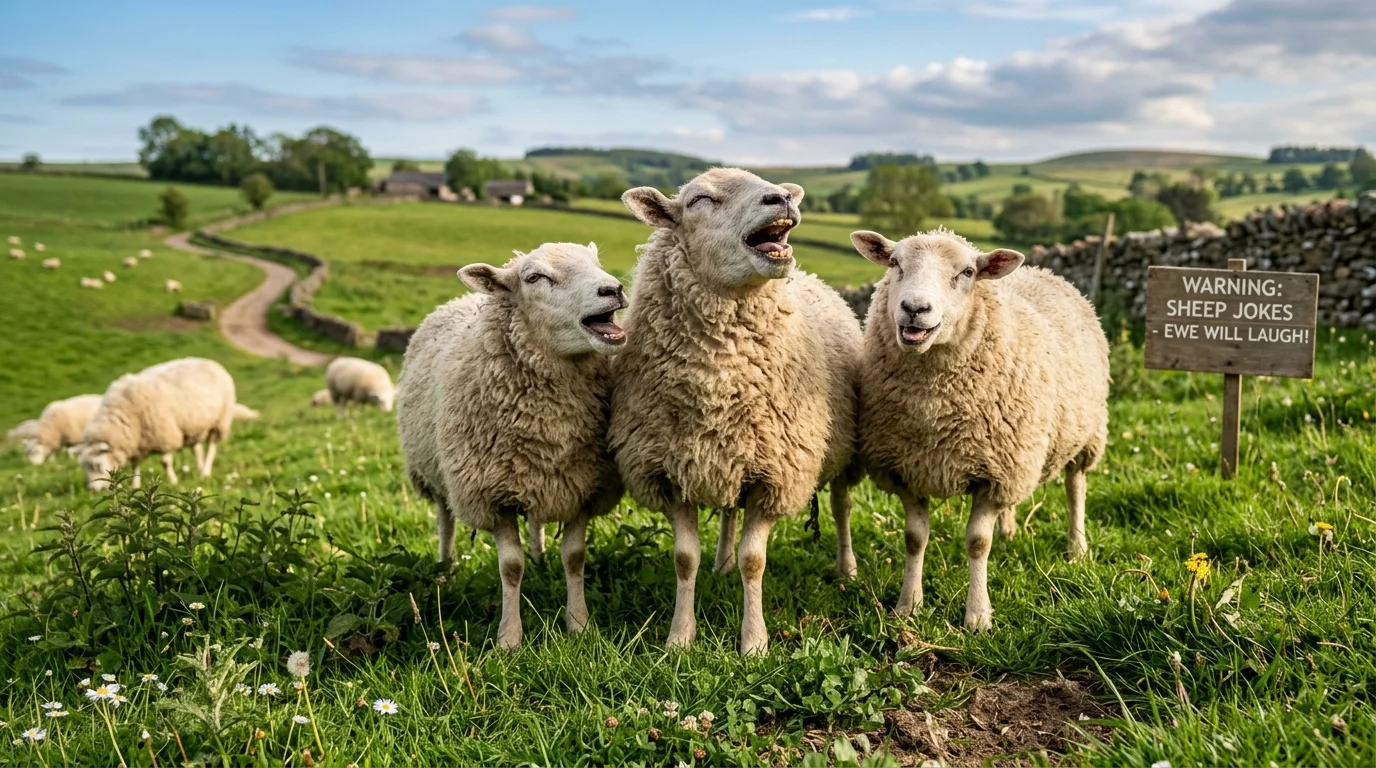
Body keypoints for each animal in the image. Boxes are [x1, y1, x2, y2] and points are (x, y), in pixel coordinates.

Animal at [79, 357, 238, 491]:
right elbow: (135, 465)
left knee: (211, 447)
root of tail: (211, 362)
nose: (92, 490)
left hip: (219, 422)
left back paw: (205, 472)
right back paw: (199, 470)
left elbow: (165, 462)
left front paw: (173, 482)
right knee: (196, 448)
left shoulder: (165, 434)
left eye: (97, 465)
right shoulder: (139, 442)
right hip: (193, 426)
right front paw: (135, 486)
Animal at [397, 242, 628, 649]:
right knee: (445, 523)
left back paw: (540, 558)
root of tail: (460, 299)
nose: (612, 288)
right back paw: (446, 570)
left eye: (596, 263)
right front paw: (509, 639)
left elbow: (574, 558)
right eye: (533, 277)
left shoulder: (584, 486)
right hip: (437, 475)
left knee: (535, 523)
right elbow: (510, 567)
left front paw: (579, 625)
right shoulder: (492, 496)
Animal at [610, 168, 863, 655]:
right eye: (699, 200)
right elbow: (684, 559)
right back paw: (721, 562)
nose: (781, 197)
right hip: (731, 453)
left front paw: (754, 643)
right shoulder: (671, 472)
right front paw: (680, 638)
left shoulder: (776, 474)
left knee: (840, 505)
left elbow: (755, 562)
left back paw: (847, 569)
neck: (718, 381)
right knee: (730, 509)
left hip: (841, 450)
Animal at [849, 228, 1110, 630]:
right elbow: (914, 538)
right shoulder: (906, 468)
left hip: (1083, 435)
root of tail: (1045, 271)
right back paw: (1010, 530)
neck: (934, 407)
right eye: (895, 263)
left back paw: (1076, 548)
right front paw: (908, 605)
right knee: (1015, 502)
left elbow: (977, 543)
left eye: (968, 272)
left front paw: (977, 616)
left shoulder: (994, 474)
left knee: (1075, 489)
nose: (915, 308)